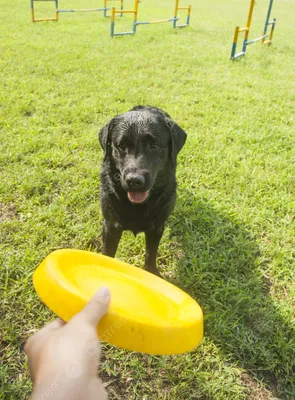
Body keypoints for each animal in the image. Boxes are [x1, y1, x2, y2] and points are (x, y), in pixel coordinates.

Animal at [99, 104, 187, 276]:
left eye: (154, 146)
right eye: (121, 146)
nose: (134, 180)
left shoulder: (157, 227)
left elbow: (151, 252)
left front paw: (151, 272)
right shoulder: (110, 225)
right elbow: (107, 253)